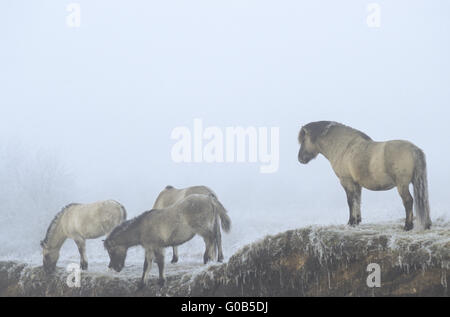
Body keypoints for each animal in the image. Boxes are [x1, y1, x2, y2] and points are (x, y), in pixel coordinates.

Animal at [104, 193, 232, 286]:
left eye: (111, 250)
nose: (114, 267)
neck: (141, 227)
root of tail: (209, 199)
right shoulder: (149, 248)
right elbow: (147, 265)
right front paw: (142, 284)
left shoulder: (157, 246)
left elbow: (160, 263)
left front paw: (161, 281)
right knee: (214, 239)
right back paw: (214, 259)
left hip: (202, 228)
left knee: (211, 239)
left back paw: (206, 259)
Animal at [298, 120, 430, 230]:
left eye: (304, 140)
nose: (300, 159)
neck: (344, 147)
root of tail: (414, 149)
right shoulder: (357, 184)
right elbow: (358, 200)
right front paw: (357, 221)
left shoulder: (346, 181)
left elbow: (350, 201)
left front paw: (351, 222)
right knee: (424, 200)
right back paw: (427, 224)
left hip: (402, 185)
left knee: (408, 201)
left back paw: (408, 226)